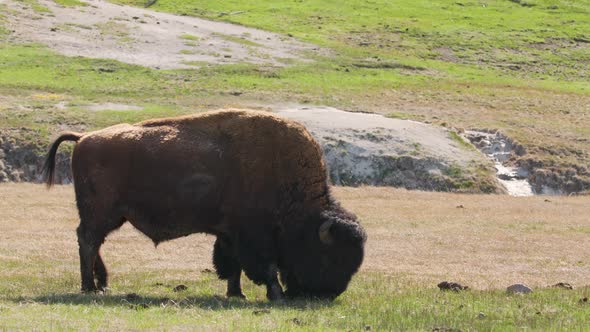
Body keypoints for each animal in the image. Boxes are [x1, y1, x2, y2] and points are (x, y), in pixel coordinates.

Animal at [44, 109, 366, 300]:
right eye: (329, 257)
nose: (328, 294)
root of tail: (84, 137)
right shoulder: (253, 236)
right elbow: (264, 266)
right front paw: (275, 295)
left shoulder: (229, 234)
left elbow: (232, 265)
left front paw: (237, 294)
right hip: (101, 213)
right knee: (88, 241)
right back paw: (89, 287)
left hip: (111, 216)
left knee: (93, 242)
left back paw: (102, 284)